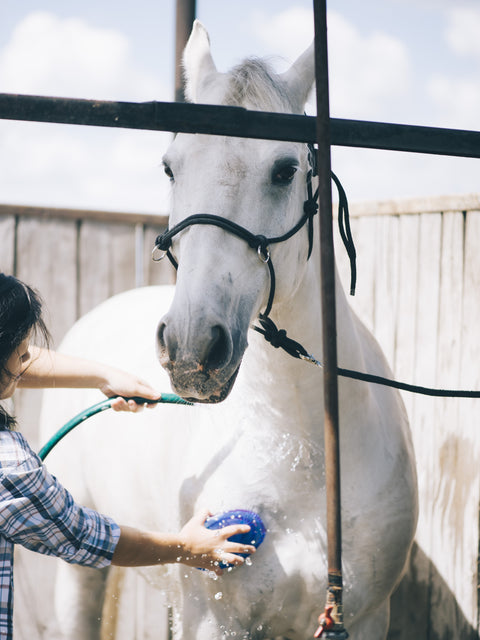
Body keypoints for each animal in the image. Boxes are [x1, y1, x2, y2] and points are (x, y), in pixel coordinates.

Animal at [40, 21, 416, 640]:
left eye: (285, 169)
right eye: (170, 167)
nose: (191, 346)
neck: (297, 450)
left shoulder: (363, 617)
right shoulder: (217, 621)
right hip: (78, 579)